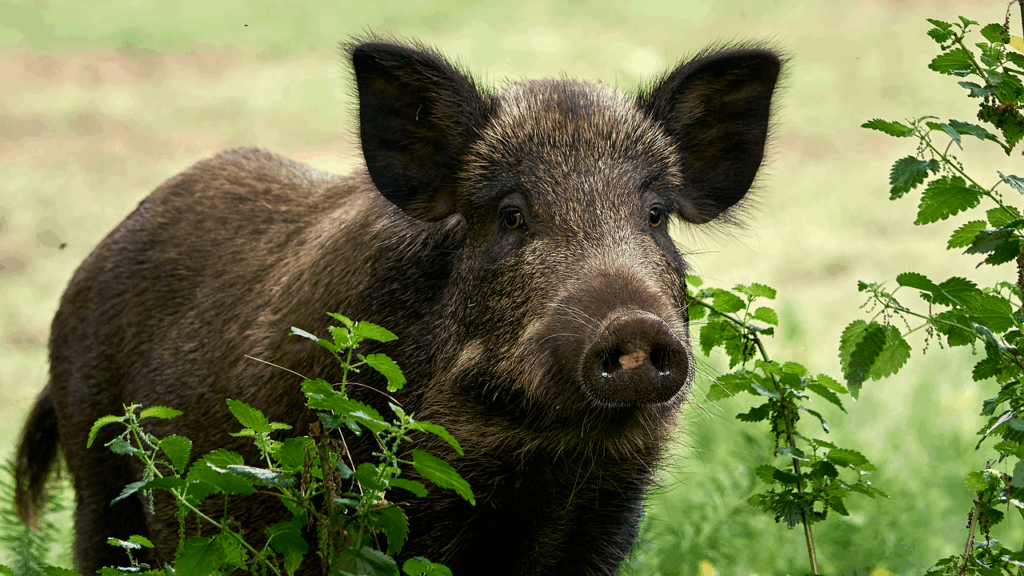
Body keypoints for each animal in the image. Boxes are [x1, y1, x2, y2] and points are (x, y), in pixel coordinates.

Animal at [15, 36, 781, 575]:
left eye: (655, 215)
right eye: (510, 215)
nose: (634, 326)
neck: (539, 459)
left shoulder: (604, 515)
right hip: (101, 472)